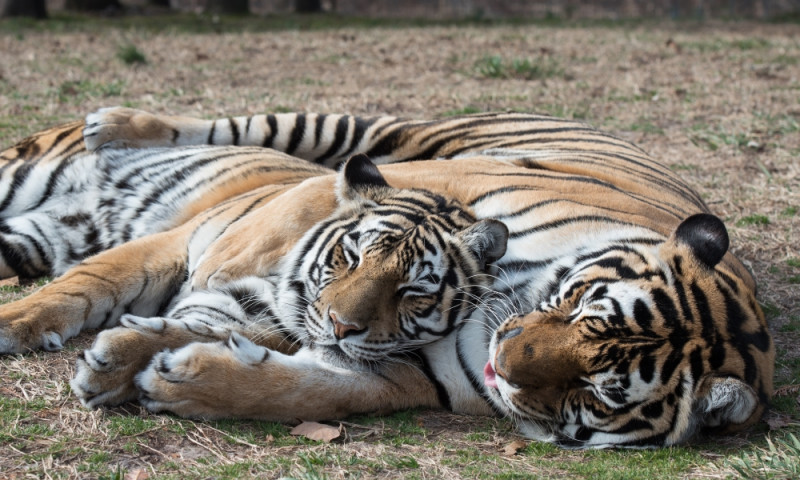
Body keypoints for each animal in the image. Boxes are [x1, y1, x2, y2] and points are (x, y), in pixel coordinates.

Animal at [0, 107, 776, 448]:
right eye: (584, 303)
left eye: (598, 394)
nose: (504, 361)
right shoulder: (439, 185)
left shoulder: (402, 372)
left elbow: (298, 386)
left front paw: (167, 375)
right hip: (379, 134)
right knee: (250, 129)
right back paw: (114, 124)